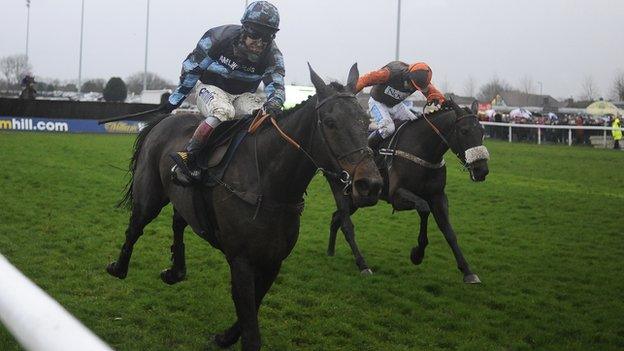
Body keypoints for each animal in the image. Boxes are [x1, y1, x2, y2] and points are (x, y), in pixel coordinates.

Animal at [105, 64, 382, 350]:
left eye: (366, 121)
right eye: (330, 122)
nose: (370, 184)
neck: (269, 185)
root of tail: (164, 121)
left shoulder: (273, 260)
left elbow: (251, 308)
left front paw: (226, 336)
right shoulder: (241, 259)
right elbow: (250, 327)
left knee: (178, 222)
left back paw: (175, 272)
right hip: (149, 195)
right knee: (135, 227)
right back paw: (119, 268)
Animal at [324, 102, 490, 284]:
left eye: (482, 131)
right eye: (464, 131)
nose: (481, 170)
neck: (422, 150)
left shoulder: (438, 196)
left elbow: (448, 231)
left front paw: (467, 271)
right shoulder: (397, 196)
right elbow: (423, 208)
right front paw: (417, 254)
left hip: (357, 200)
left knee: (336, 218)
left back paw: (330, 251)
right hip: (348, 194)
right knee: (343, 222)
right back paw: (359, 264)